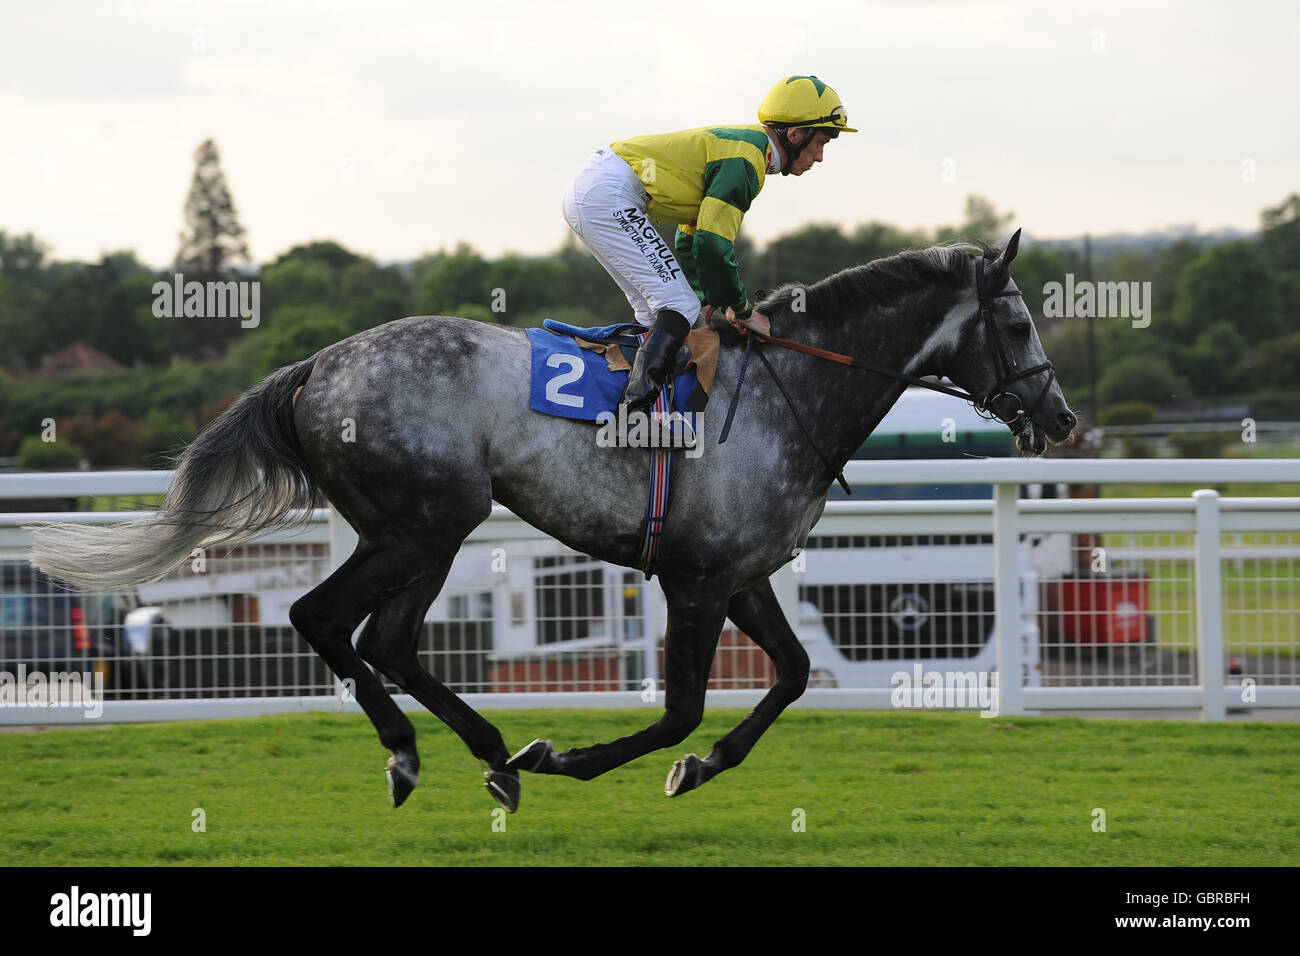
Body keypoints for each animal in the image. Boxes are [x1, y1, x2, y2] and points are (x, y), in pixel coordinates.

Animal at [30, 230, 1076, 806]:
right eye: (1019, 323)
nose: (1061, 419)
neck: (792, 395)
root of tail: (316, 366)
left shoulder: (742, 575)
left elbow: (788, 677)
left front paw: (700, 768)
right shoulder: (695, 580)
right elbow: (681, 707)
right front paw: (579, 755)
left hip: (416, 531)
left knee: (385, 640)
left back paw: (484, 755)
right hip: (427, 524)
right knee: (326, 619)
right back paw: (427, 753)